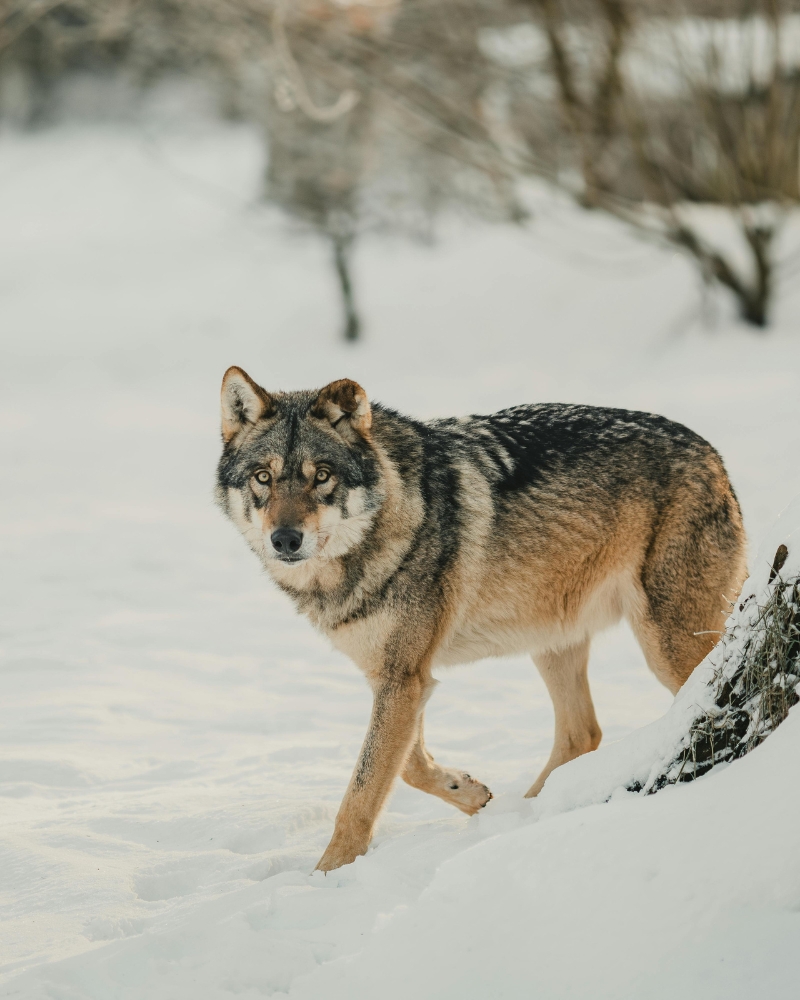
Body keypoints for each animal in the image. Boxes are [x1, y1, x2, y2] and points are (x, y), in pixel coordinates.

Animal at [215, 367, 747, 872]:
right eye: (263, 477)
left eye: (321, 475)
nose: (285, 539)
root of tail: (712, 454)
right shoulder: (399, 676)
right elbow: (406, 765)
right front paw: (470, 793)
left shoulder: (404, 679)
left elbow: (363, 791)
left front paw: (327, 876)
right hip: (553, 641)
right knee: (583, 733)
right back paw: (521, 818)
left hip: (667, 646)